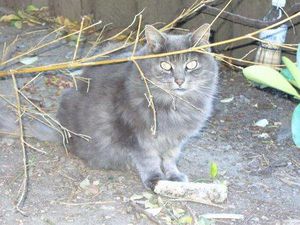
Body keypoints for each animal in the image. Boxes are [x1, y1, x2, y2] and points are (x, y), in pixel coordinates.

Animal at [0, 24, 218, 190]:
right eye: (165, 66)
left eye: (191, 64)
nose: (179, 80)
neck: (175, 106)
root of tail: (62, 131)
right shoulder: (134, 133)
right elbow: (149, 159)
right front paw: (155, 179)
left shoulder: (176, 140)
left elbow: (170, 158)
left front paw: (173, 176)